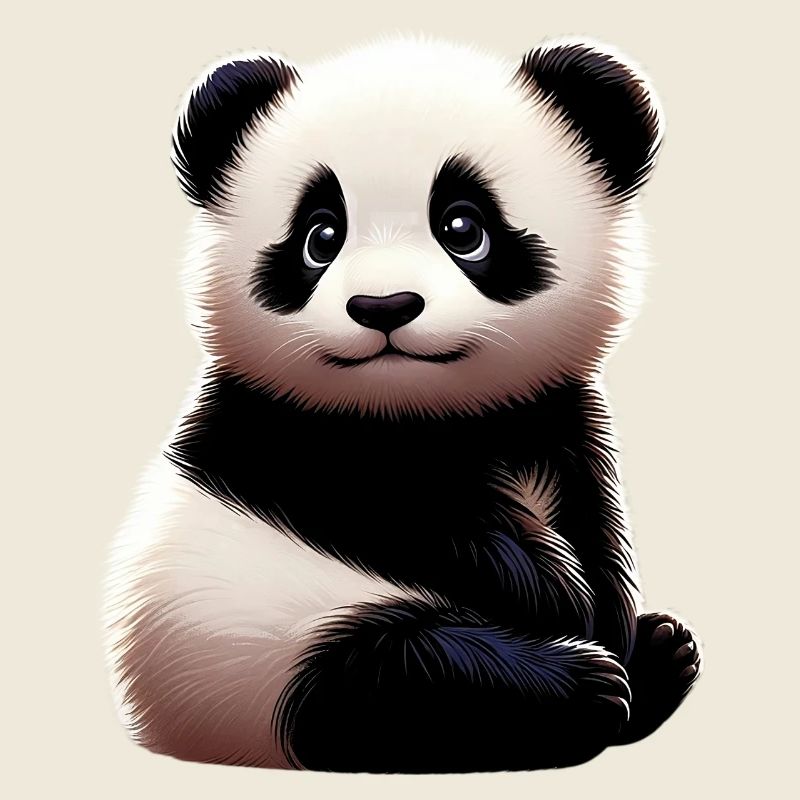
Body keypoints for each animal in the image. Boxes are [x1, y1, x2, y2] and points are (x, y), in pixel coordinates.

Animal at [103, 35, 703, 773]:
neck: (422, 413)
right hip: (249, 651)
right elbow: (396, 514)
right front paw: (556, 595)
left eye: (463, 226)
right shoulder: (277, 431)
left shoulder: (558, 415)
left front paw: (609, 614)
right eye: (320, 236)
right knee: (396, 679)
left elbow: (596, 519)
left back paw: (660, 656)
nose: (383, 306)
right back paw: (587, 685)